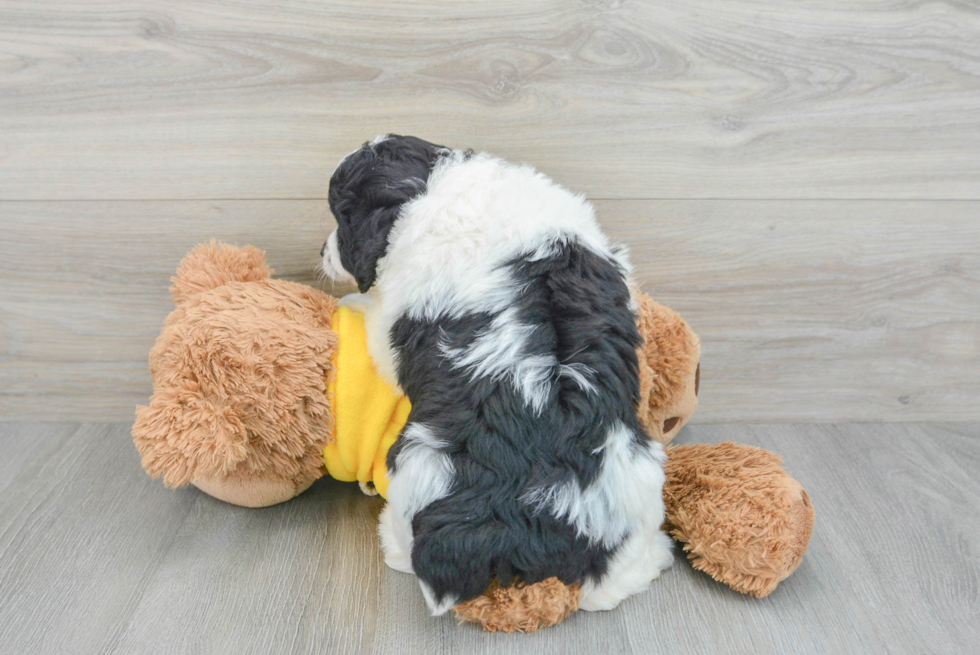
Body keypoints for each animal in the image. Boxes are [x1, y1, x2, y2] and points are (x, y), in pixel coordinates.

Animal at [322, 136, 672, 616]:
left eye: (341, 217)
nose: (321, 254)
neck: (431, 183)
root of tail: (543, 511)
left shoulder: (391, 322)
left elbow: (374, 316)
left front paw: (351, 302)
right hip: (642, 478)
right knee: (609, 587)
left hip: (418, 470)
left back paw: (393, 548)